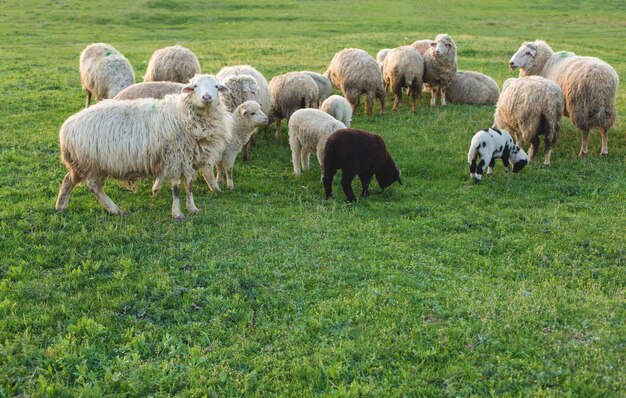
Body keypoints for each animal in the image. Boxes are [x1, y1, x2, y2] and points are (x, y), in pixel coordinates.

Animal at [55, 74, 232, 221]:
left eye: (216, 86)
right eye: (195, 86)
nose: (207, 97)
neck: (182, 114)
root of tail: (66, 127)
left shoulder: (187, 160)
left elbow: (189, 186)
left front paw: (192, 208)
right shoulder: (174, 159)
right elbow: (176, 188)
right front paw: (177, 213)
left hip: (80, 163)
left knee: (68, 180)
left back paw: (61, 206)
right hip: (92, 164)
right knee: (94, 187)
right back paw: (115, 210)